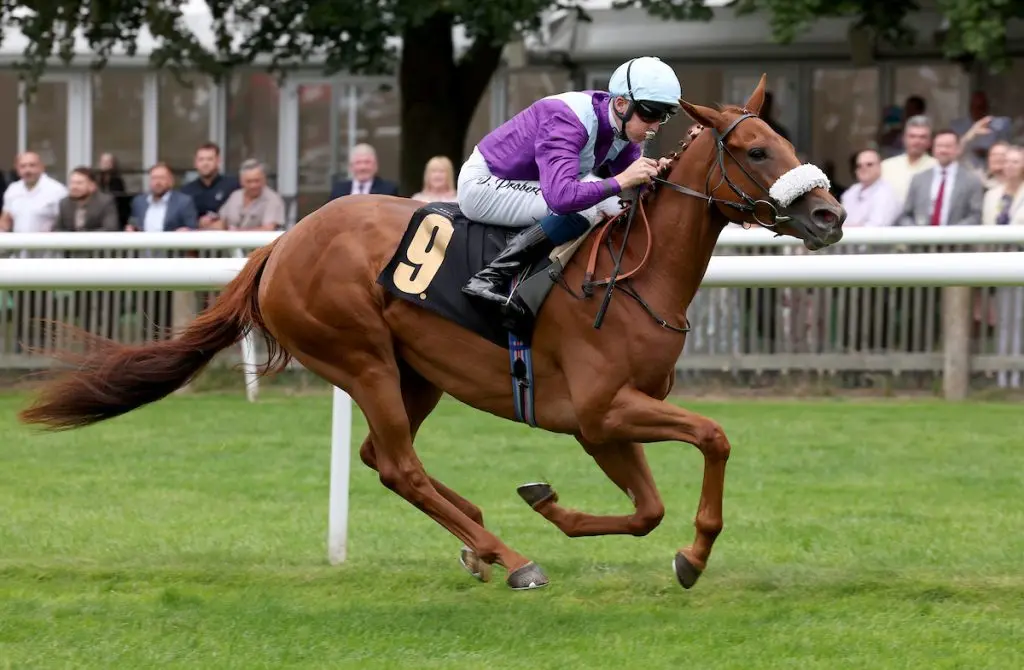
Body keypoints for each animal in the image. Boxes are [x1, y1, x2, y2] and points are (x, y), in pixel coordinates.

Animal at [18, 76, 847, 594]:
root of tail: (277, 248)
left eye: (783, 140)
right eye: (756, 151)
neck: (629, 275)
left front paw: (554, 504)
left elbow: (647, 510)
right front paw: (691, 554)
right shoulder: (602, 410)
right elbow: (713, 439)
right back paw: (509, 557)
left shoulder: (604, 424)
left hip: (413, 371)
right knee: (401, 466)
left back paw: (478, 536)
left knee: (381, 460)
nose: (830, 214)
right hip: (360, 357)